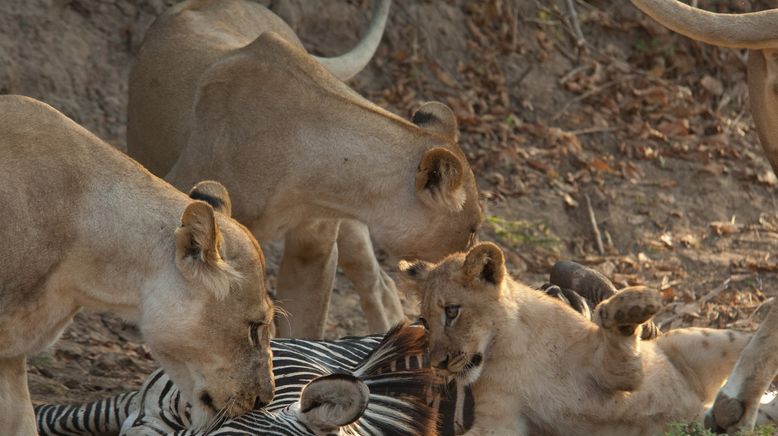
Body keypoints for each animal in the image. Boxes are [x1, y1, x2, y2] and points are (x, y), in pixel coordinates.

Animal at [398, 244, 760, 434]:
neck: (509, 352)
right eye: (424, 322)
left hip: (698, 339)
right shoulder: (501, 418)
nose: (438, 364)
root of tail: (701, 406)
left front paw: (629, 305)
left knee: (748, 343)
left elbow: (617, 342)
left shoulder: (620, 374)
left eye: (452, 311)